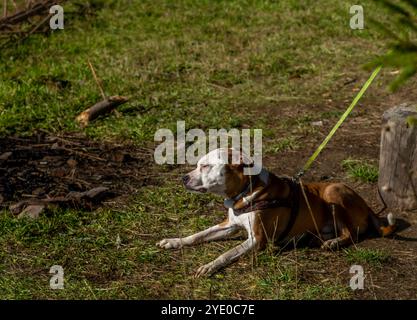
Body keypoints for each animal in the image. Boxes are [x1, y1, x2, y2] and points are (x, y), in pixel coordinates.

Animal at [155, 149, 394, 276]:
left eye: (205, 167)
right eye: (198, 165)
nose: (183, 178)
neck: (246, 191)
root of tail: (367, 205)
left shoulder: (257, 239)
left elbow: (227, 253)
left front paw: (209, 266)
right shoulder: (229, 225)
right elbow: (198, 235)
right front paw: (174, 241)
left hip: (333, 192)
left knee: (351, 233)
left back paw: (333, 243)